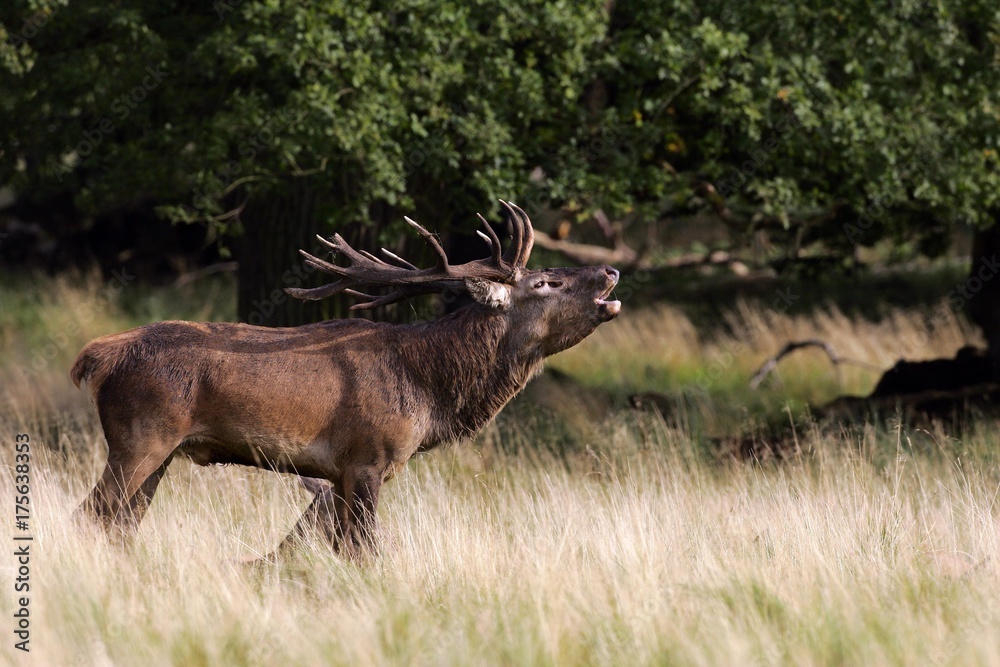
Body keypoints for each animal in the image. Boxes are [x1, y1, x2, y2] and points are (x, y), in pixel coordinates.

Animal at [71, 201, 621, 556]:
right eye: (546, 282)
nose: (611, 272)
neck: (429, 392)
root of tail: (98, 355)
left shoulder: (336, 474)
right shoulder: (366, 457)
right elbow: (364, 550)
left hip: (163, 452)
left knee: (121, 525)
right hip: (141, 437)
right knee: (91, 514)